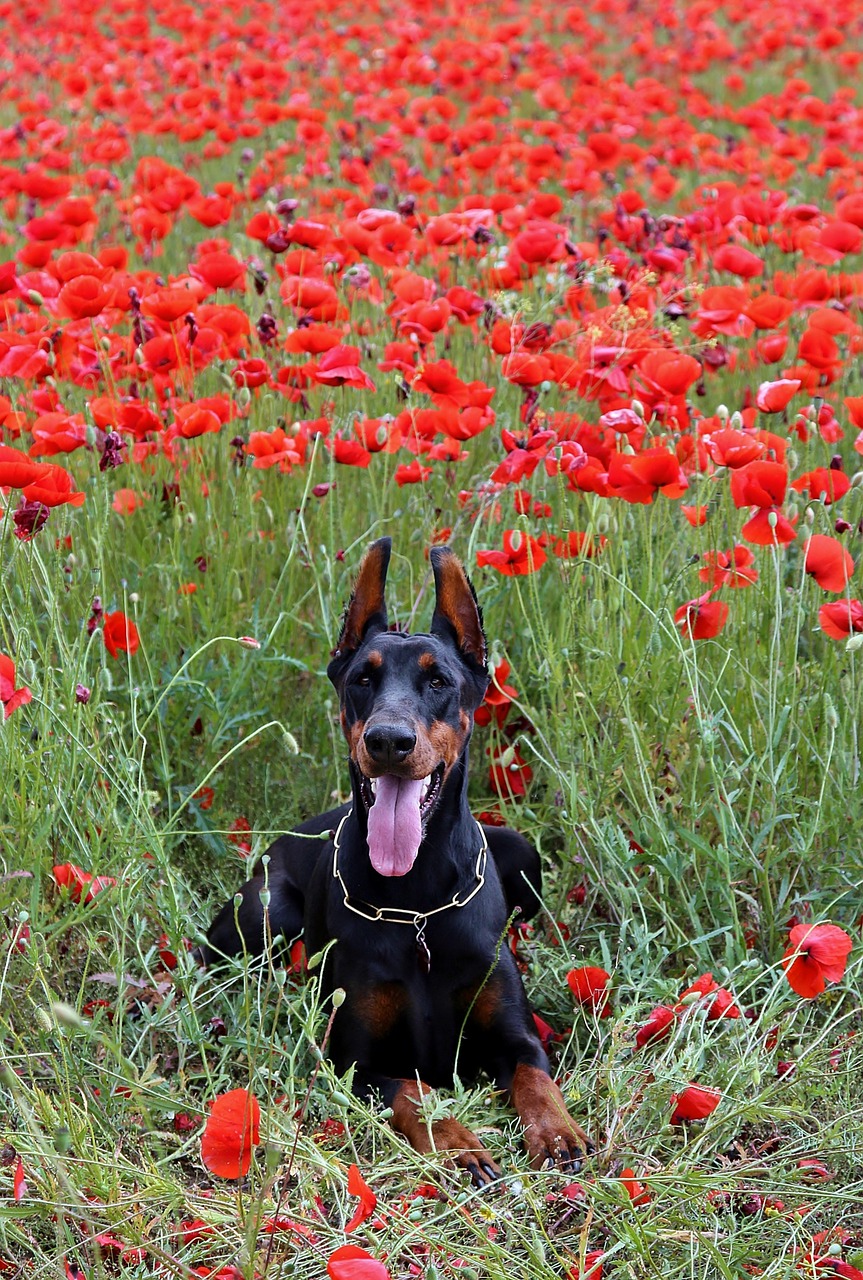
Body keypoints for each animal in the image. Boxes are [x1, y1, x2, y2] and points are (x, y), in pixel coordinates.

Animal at [204, 535, 588, 1182]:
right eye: (363, 677)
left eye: (439, 682)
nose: (387, 741)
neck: (418, 905)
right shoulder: (355, 1059)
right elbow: (415, 1091)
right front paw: (458, 1143)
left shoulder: (520, 1037)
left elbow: (535, 1079)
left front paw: (558, 1133)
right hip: (264, 914)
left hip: (520, 852)